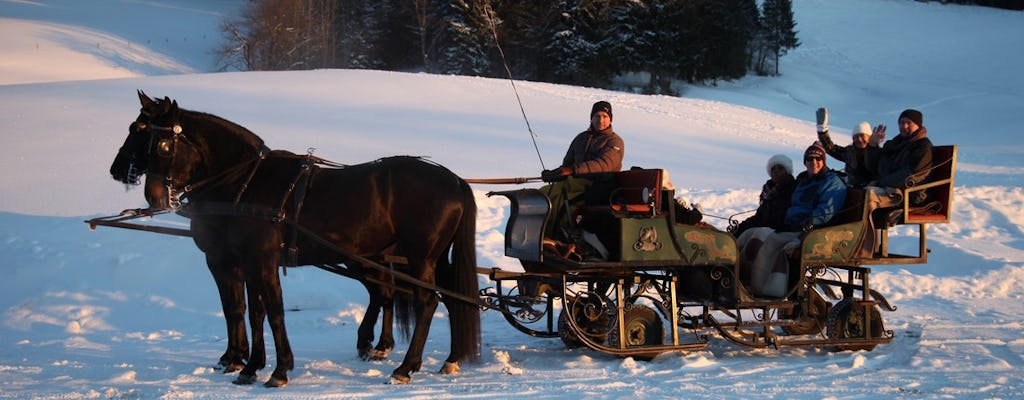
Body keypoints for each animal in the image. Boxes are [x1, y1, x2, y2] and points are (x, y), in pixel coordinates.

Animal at [105, 92, 481, 386]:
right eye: (141, 132)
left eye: (155, 140)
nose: (152, 195)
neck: (242, 183)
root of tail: (454, 179)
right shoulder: (239, 261)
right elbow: (244, 309)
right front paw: (244, 363)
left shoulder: (255, 260)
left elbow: (271, 311)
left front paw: (276, 369)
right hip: (413, 257)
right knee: (441, 297)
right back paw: (446, 358)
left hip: (418, 257)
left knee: (426, 301)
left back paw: (405, 366)